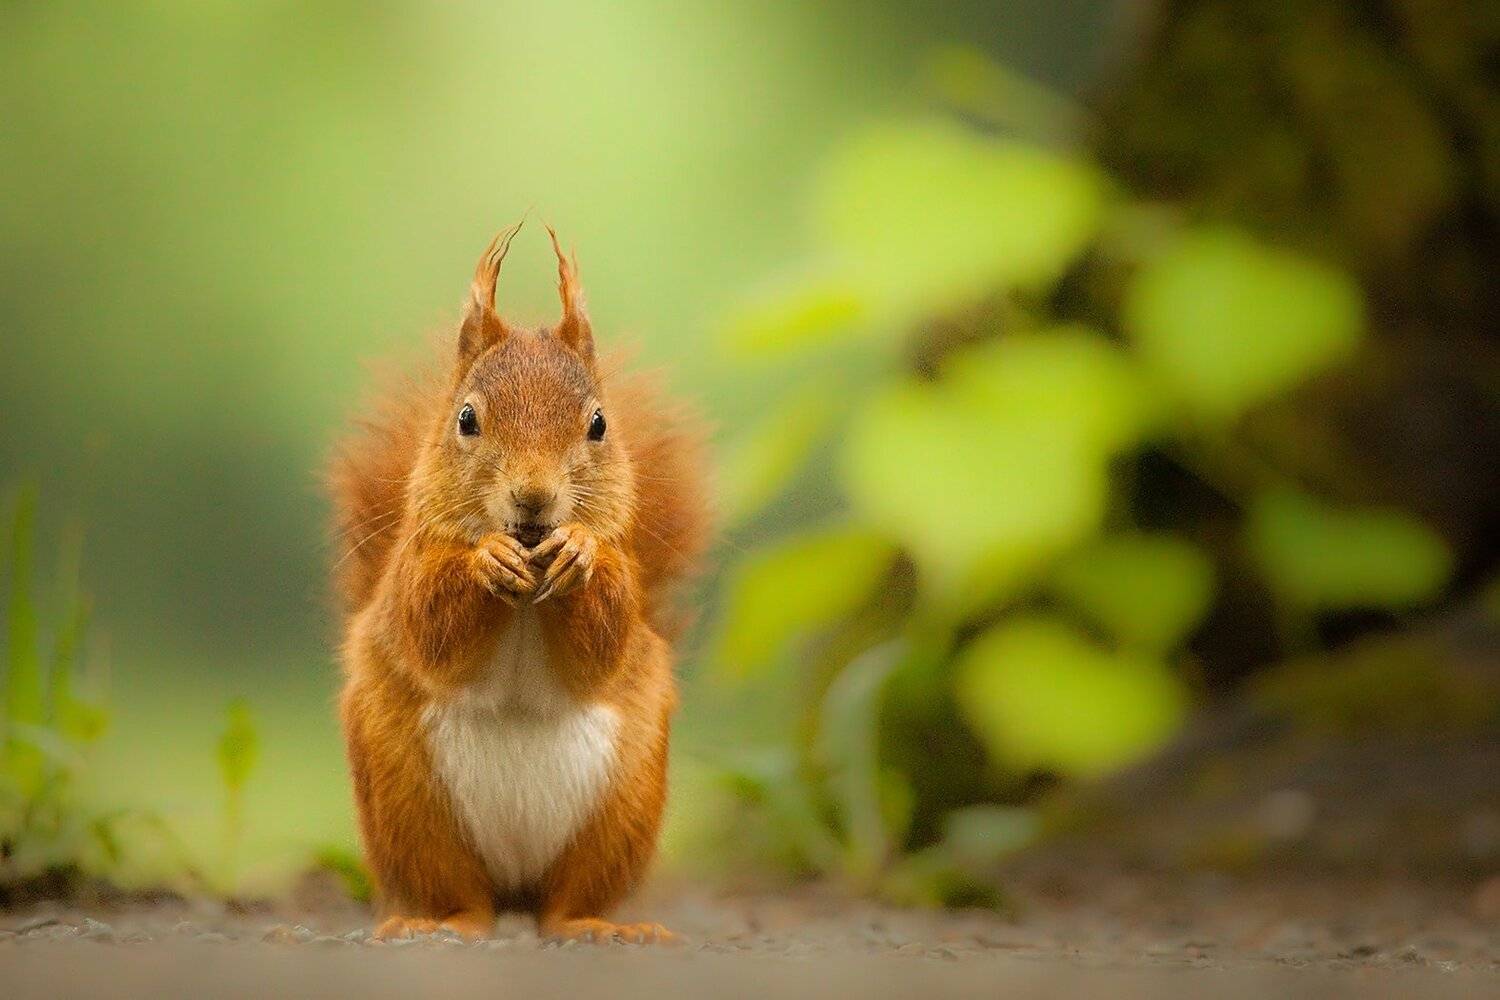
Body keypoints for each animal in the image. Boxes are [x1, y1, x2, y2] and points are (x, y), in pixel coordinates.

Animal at [329, 223, 710, 944]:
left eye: (599, 424)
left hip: (621, 812)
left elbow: (607, 639)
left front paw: (580, 552)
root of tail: (514, 888)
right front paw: (486, 562)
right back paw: (440, 924)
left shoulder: (625, 574)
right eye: (466, 419)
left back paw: (596, 926)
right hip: (410, 808)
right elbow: (429, 627)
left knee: (564, 903)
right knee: (463, 899)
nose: (533, 500)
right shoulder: (411, 568)